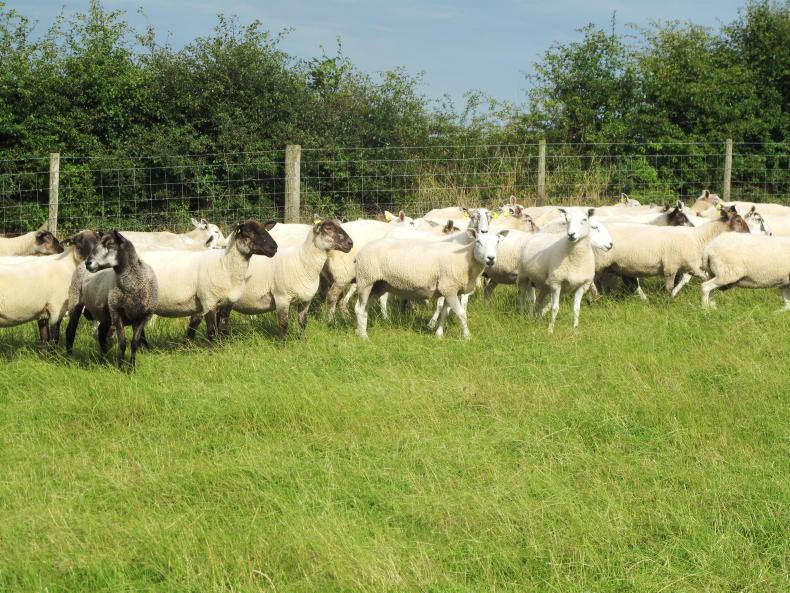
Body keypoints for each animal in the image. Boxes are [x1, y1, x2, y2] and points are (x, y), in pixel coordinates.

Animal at [64, 232, 158, 369]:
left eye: (110, 245)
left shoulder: (142, 317)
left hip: (103, 313)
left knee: (102, 334)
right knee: (70, 332)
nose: (89, 263)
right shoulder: (116, 313)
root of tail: (80, 265)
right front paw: (121, 367)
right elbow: (122, 343)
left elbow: (134, 344)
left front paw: (132, 368)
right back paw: (68, 360)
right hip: (75, 301)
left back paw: (102, 362)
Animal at [138, 220, 277, 341]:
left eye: (265, 229)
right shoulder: (208, 301)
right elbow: (211, 330)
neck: (224, 265)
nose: (274, 247)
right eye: (248, 232)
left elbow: (222, 329)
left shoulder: (227, 304)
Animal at [354, 228, 506, 339]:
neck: (466, 259)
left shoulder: (449, 290)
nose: (491, 258)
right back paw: (364, 337)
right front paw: (467, 336)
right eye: (478, 241)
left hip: (377, 285)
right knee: (360, 309)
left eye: (498, 242)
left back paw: (361, 330)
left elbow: (444, 313)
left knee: (363, 309)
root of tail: (360, 252)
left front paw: (439, 335)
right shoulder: (449, 288)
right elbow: (461, 314)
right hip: (366, 280)